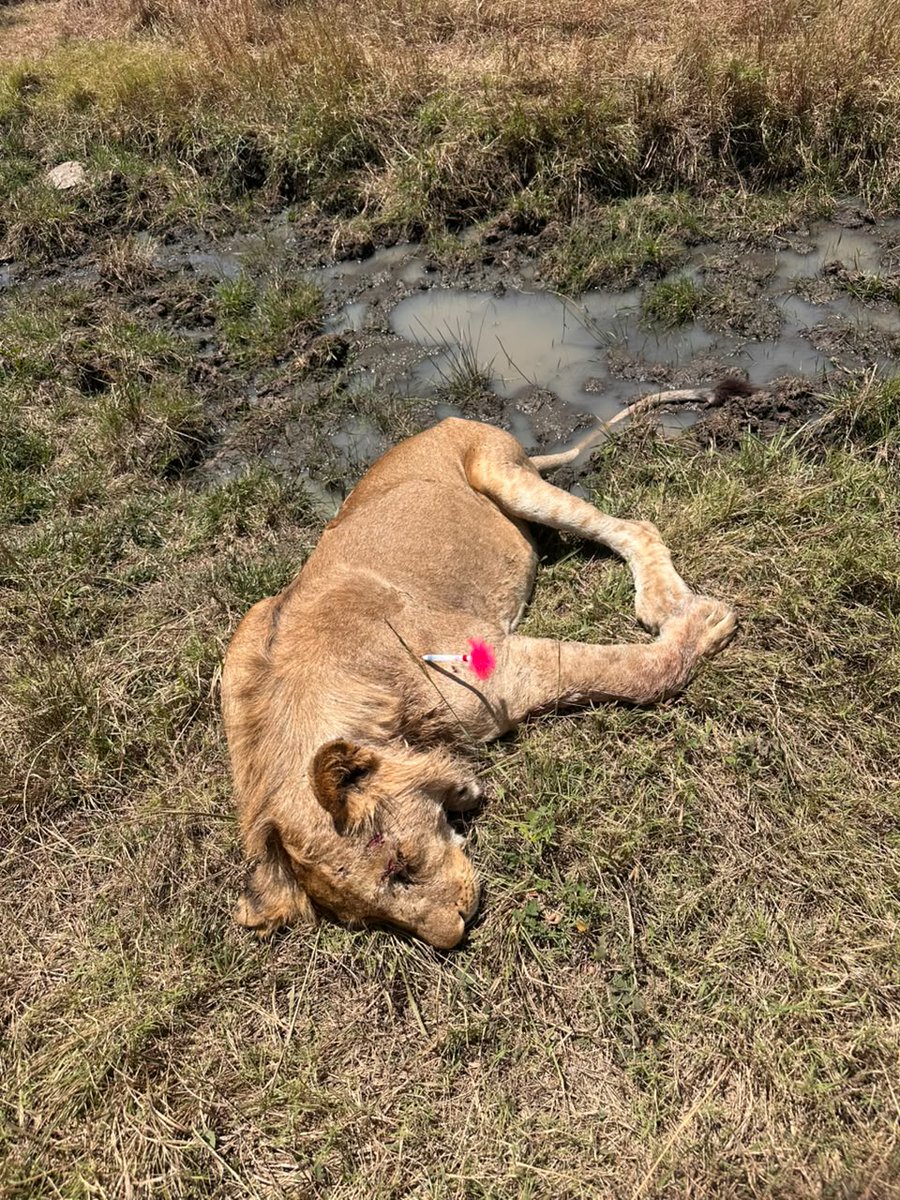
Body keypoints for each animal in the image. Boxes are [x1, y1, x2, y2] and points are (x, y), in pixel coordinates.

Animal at [222, 396, 740, 948]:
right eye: (373, 921)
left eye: (398, 867)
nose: (456, 932)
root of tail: (446, 422)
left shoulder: (500, 668)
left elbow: (633, 672)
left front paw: (702, 624)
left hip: (504, 476)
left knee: (635, 526)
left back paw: (662, 600)